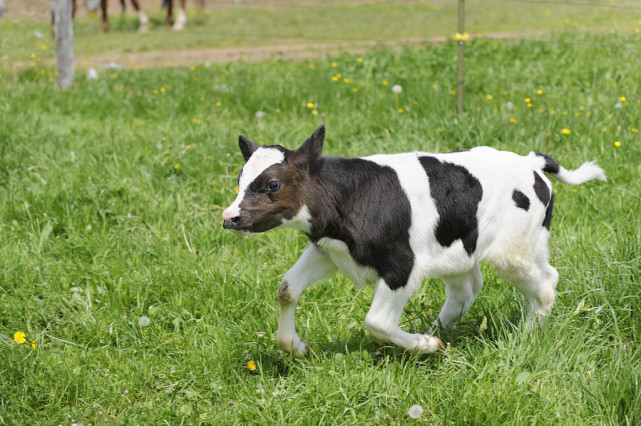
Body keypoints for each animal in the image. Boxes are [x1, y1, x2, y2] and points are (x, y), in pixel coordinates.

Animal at [222, 125, 608, 356]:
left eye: (272, 184)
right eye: (240, 179)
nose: (230, 217)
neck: (348, 195)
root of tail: (529, 162)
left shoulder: (400, 265)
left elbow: (377, 323)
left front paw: (426, 345)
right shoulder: (330, 250)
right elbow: (287, 289)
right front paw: (296, 346)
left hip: (518, 253)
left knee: (546, 283)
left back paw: (525, 337)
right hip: (457, 250)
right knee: (467, 288)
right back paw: (439, 327)